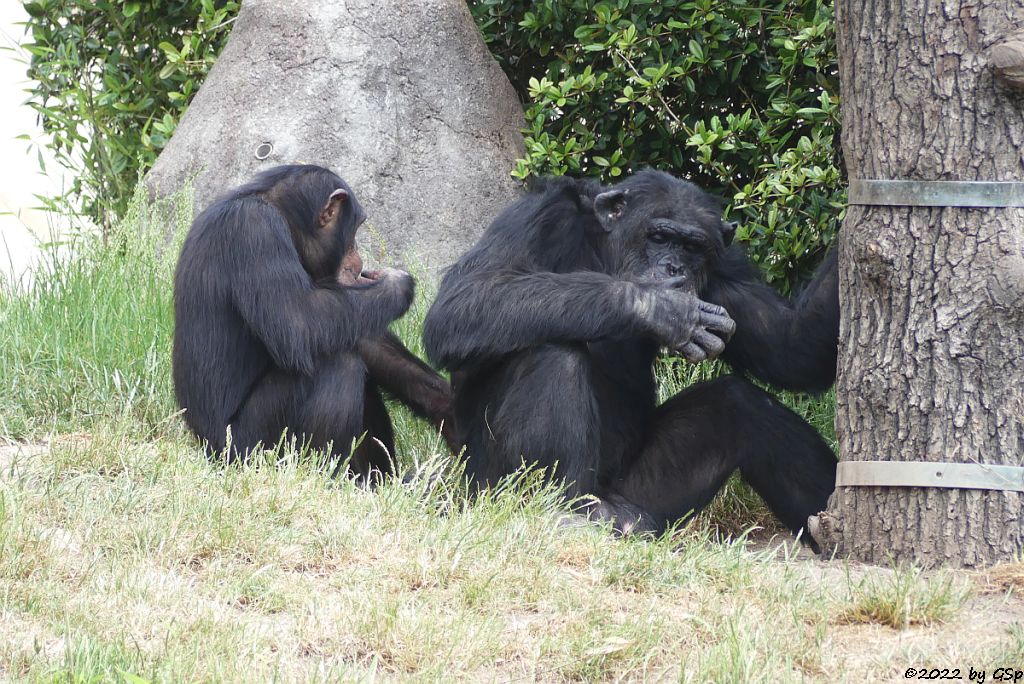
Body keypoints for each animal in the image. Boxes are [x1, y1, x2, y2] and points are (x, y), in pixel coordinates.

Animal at [174, 164, 454, 475]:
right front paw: (397, 284)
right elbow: (300, 322)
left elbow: (349, 329)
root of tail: (206, 451)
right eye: (355, 229)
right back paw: (322, 475)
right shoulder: (255, 231)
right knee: (339, 365)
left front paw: (446, 406)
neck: (281, 214)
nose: (358, 259)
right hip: (248, 450)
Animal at [423, 167, 839, 536]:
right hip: (489, 489)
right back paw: (558, 510)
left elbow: (789, 346)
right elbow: (465, 300)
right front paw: (661, 307)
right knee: (551, 350)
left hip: (644, 499)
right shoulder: (536, 216)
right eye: (659, 237)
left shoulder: (726, 267)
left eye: (692, 247)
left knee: (739, 403)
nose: (674, 267)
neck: (605, 251)